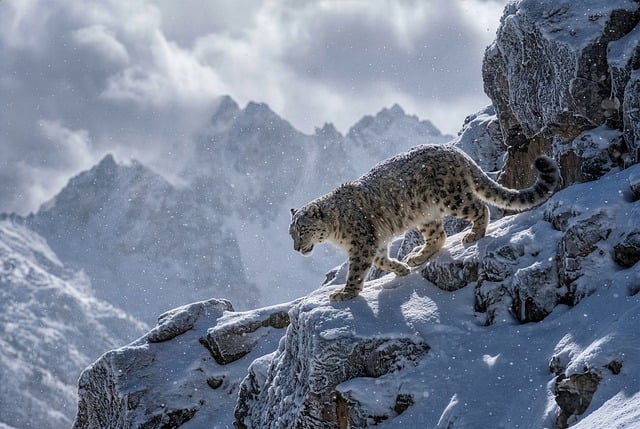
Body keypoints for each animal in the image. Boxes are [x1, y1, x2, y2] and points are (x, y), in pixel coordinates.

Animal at [289, 144, 560, 301]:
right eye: (291, 233)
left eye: (302, 230)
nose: (296, 248)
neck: (337, 234)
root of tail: (455, 151)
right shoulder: (375, 242)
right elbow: (381, 260)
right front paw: (401, 269)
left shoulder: (362, 242)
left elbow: (357, 270)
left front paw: (345, 293)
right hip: (426, 215)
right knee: (438, 236)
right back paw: (417, 257)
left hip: (452, 198)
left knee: (480, 208)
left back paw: (473, 234)